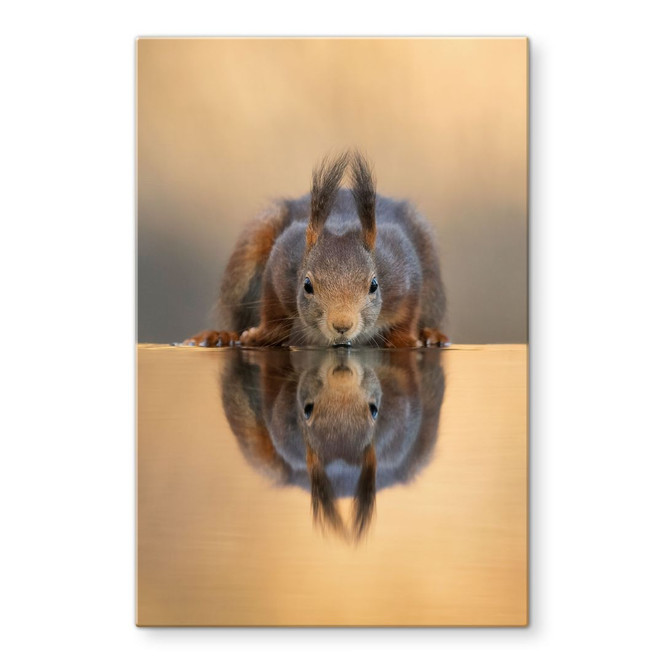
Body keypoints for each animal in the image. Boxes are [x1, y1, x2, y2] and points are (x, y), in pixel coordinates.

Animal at [185, 151, 448, 348]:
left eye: (374, 285)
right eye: (307, 286)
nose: (342, 326)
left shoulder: (403, 268)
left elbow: (408, 314)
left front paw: (406, 339)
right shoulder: (282, 261)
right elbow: (272, 311)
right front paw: (260, 335)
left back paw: (432, 335)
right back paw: (220, 336)